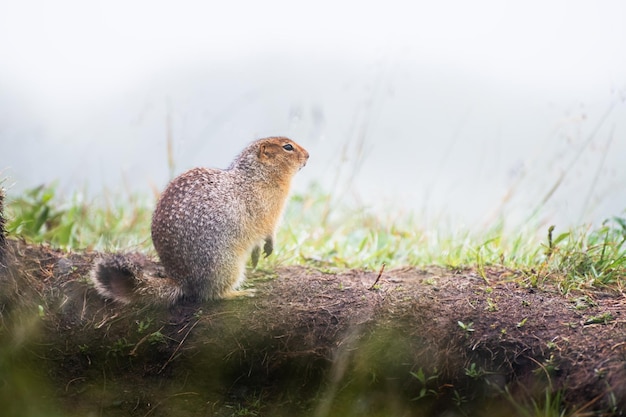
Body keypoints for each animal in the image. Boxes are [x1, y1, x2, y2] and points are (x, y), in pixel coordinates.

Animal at [89, 138, 308, 304]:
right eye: (288, 147)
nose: (308, 155)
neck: (257, 175)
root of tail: (181, 281)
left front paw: (257, 255)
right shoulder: (269, 210)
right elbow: (268, 229)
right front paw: (269, 246)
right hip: (227, 264)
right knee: (212, 294)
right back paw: (241, 293)